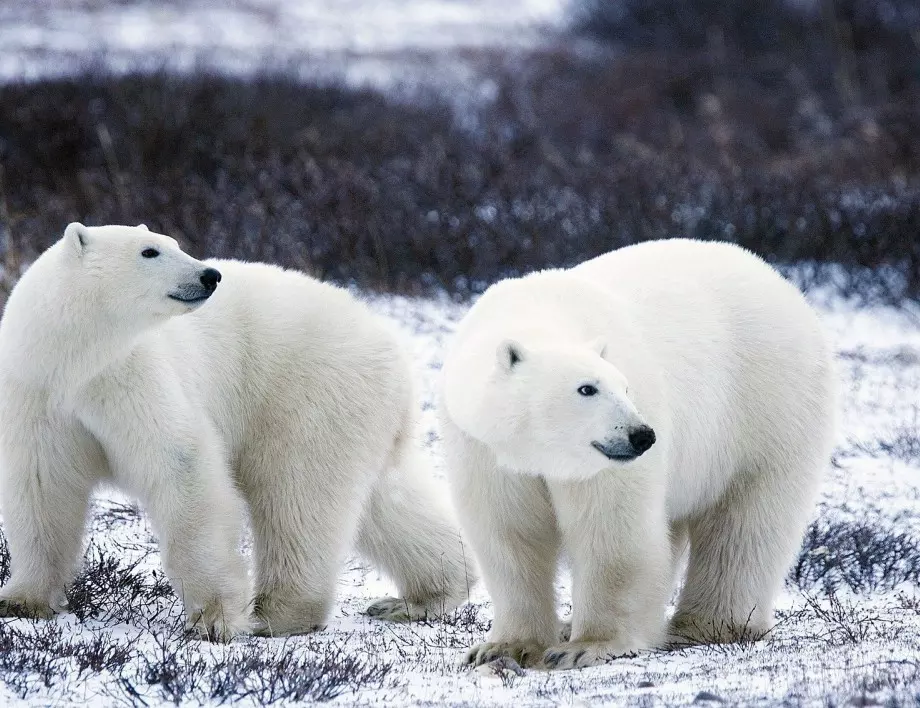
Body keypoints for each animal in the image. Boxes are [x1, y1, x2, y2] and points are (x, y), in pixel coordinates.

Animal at [0, 223, 474, 640]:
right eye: (149, 251)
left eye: (174, 243)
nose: (209, 275)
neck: (74, 361)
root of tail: (395, 349)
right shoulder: (37, 396)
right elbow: (42, 488)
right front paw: (22, 600)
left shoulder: (131, 377)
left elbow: (182, 467)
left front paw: (213, 619)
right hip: (361, 413)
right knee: (385, 501)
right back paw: (422, 596)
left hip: (310, 393)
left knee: (296, 494)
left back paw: (276, 614)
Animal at [442, 238, 836, 668]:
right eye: (587, 388)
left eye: (625, 387)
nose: (642, 436)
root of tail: (783, 284)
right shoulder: (485, 449)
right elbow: (509, 533)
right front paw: (502, 647)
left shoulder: (603, 464)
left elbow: (612, 532)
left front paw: (585, 646)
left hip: (767, 407)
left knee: (746, 522)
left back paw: (707, 625)